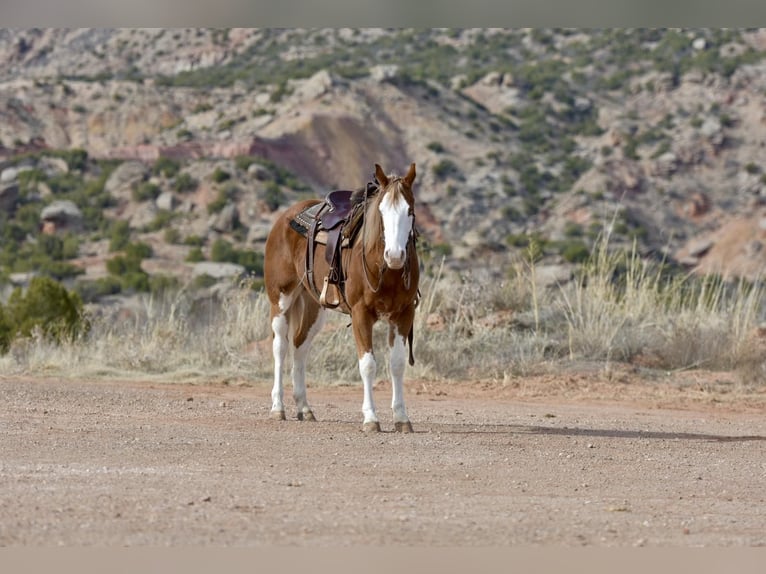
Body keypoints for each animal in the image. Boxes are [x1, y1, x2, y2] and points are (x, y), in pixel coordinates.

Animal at [264, 162, 420, 432]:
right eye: (381, 211)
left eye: (409, 211)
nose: (395, 255)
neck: (385, 269)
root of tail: (285, 218)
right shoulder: (360, 314)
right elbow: (368, 365)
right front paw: (371, 419)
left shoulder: (403, 313)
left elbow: (397, 365)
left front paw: (401, 418)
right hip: (280, 300)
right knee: (280, 347)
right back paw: (278, 408)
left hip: (314, 308)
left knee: (300, 346)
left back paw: (304, 408)